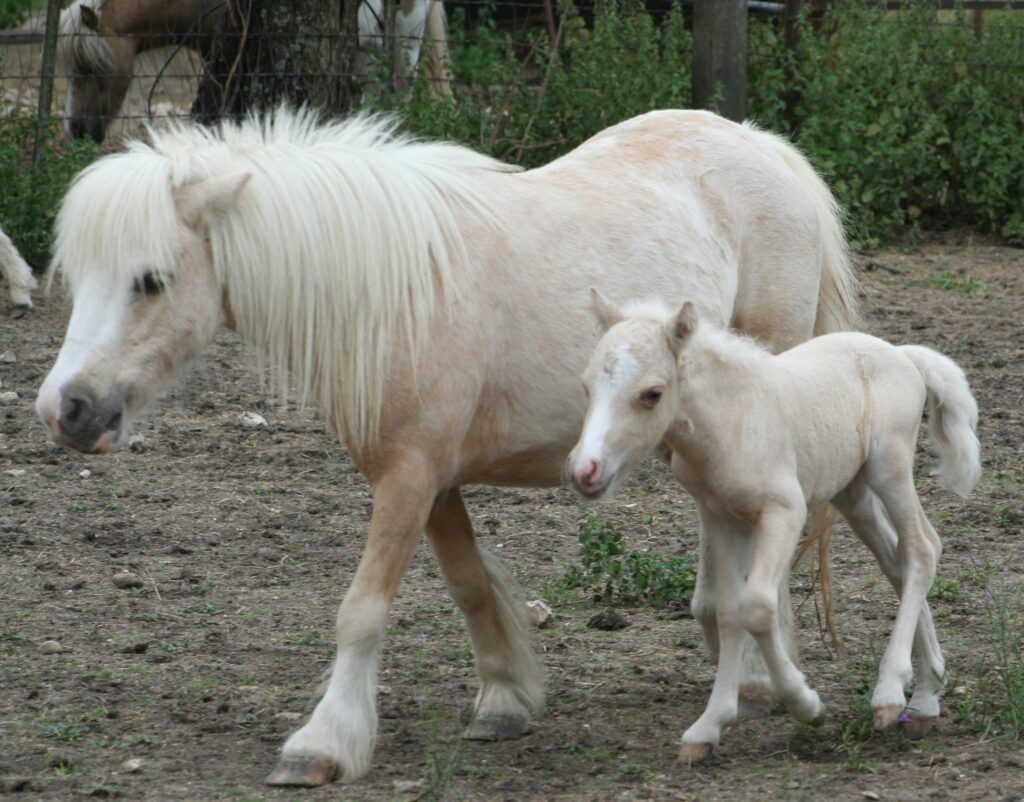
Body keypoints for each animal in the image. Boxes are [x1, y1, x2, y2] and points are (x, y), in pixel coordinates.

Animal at [36, 107, 859, 786]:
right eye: (77, 276)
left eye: (151, 280)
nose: (65, 410)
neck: (392, 294)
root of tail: (765, 146)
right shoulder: (428, 479)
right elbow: (467, 583)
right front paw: (505, 698)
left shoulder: (407, 477)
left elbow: (361, 611)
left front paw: (323, 744)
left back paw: (754, 673)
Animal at [567, 291, 981, 762]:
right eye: (586, 385)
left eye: (652, 393)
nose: (584, 471)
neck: (732, 419)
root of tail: (903, 353)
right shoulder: (720, 516)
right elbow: (729, 611)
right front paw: (709, 726)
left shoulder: (785, 512)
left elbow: (758, 607)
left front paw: (806, 704)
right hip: (852, 492)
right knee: (897, 563)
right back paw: (927, 695)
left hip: (888, 468)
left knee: (922, 549)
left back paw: (890, 693)